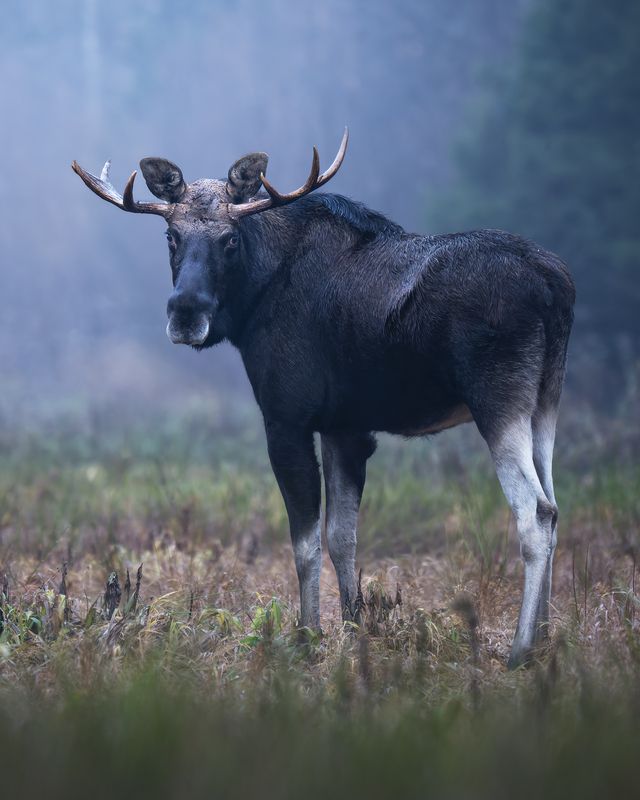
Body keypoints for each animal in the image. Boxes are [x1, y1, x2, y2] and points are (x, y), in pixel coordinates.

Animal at [72, 129, 575, 668]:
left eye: (230, 239)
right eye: (171, 237)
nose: (186, 312)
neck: (254, 302)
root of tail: (557, 285)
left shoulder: (287, 418)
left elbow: (305, 542)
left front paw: (307, 636)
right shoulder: (345, 427)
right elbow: (343, 537)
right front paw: (355, 631)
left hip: (498, 399)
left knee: (536, 513)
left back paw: (521, 647)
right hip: (544, 402)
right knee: (555, 505)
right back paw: (546, 635)